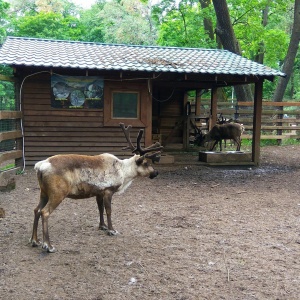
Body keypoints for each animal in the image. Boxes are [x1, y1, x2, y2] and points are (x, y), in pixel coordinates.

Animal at [29, 123, 164, 252]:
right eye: (146, 163)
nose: (156, 173)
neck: (124, 172)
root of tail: (40, 166)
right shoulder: (109, 191)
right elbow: (109, 210)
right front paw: (112, 230)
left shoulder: (99, 193)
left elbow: (100, 209)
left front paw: (102, 226)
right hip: (57, 193)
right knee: (44, 212)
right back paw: (48, 245)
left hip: (44, 193)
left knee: (36, 210)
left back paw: (34, 240)